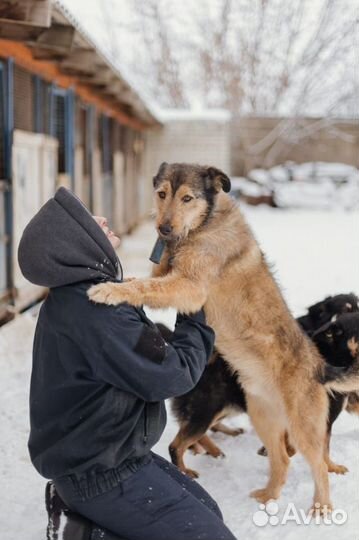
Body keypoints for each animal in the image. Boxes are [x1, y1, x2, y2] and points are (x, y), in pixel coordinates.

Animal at [164, 296, 359, 476]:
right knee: (176, 445)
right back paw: (185, 470)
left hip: (224, 408)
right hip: (206, 411)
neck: (332, 356)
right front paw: (331, 467)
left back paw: (217, 450)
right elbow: (316, 449)